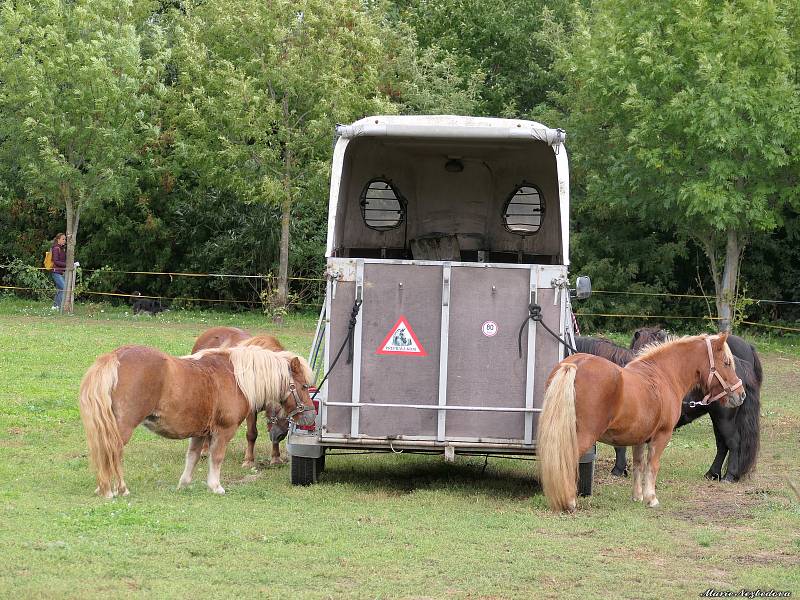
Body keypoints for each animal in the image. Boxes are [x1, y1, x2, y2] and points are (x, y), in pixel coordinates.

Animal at [75, 342, 312, 496]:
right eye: (303, 386)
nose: (310, 414)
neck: (235, 377)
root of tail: (116, 356)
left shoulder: (200, 432)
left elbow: (193, 457)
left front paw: (184, 484)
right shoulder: (223, 431)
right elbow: (216, 458)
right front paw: (215, 486)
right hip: (123, 427)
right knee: (113, 451)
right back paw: (119, 489)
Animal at [536, 332, 744, 510]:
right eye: (726, 362)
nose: (741, 395)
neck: (663, 375)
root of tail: (574, 364)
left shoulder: (639, 438)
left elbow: (638, 465)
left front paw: (637, 496)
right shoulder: (661, 436)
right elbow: (652, 465)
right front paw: (651, 498)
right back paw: (570, 500)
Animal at [576, 328, 764, 482]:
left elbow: (618, 447)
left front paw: (618, 470)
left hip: (724, 418)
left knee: (733, 443)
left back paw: (729, 476)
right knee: (722, 445)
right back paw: (712, 473)